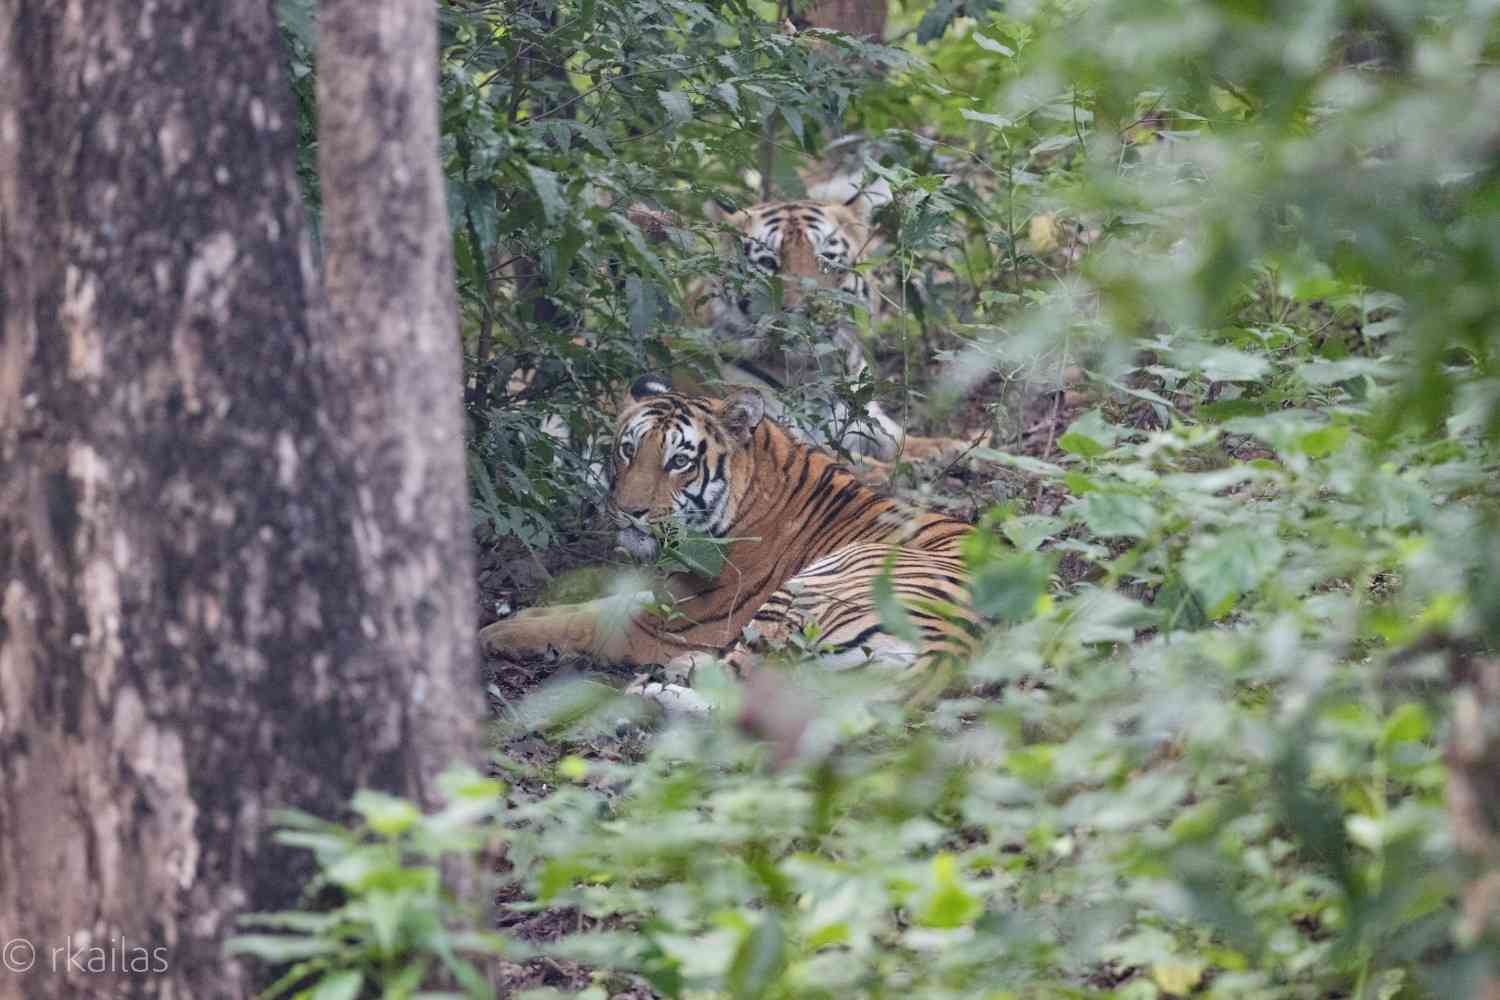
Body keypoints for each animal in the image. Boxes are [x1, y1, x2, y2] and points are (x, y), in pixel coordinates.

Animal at [474, 373, 978, 680]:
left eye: (679, 462)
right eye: (627, 450)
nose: (630, 510)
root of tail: (949, 650)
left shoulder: (683, 620)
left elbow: (588, 621)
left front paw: (499, 634)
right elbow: (598, 602)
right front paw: (526, 615)